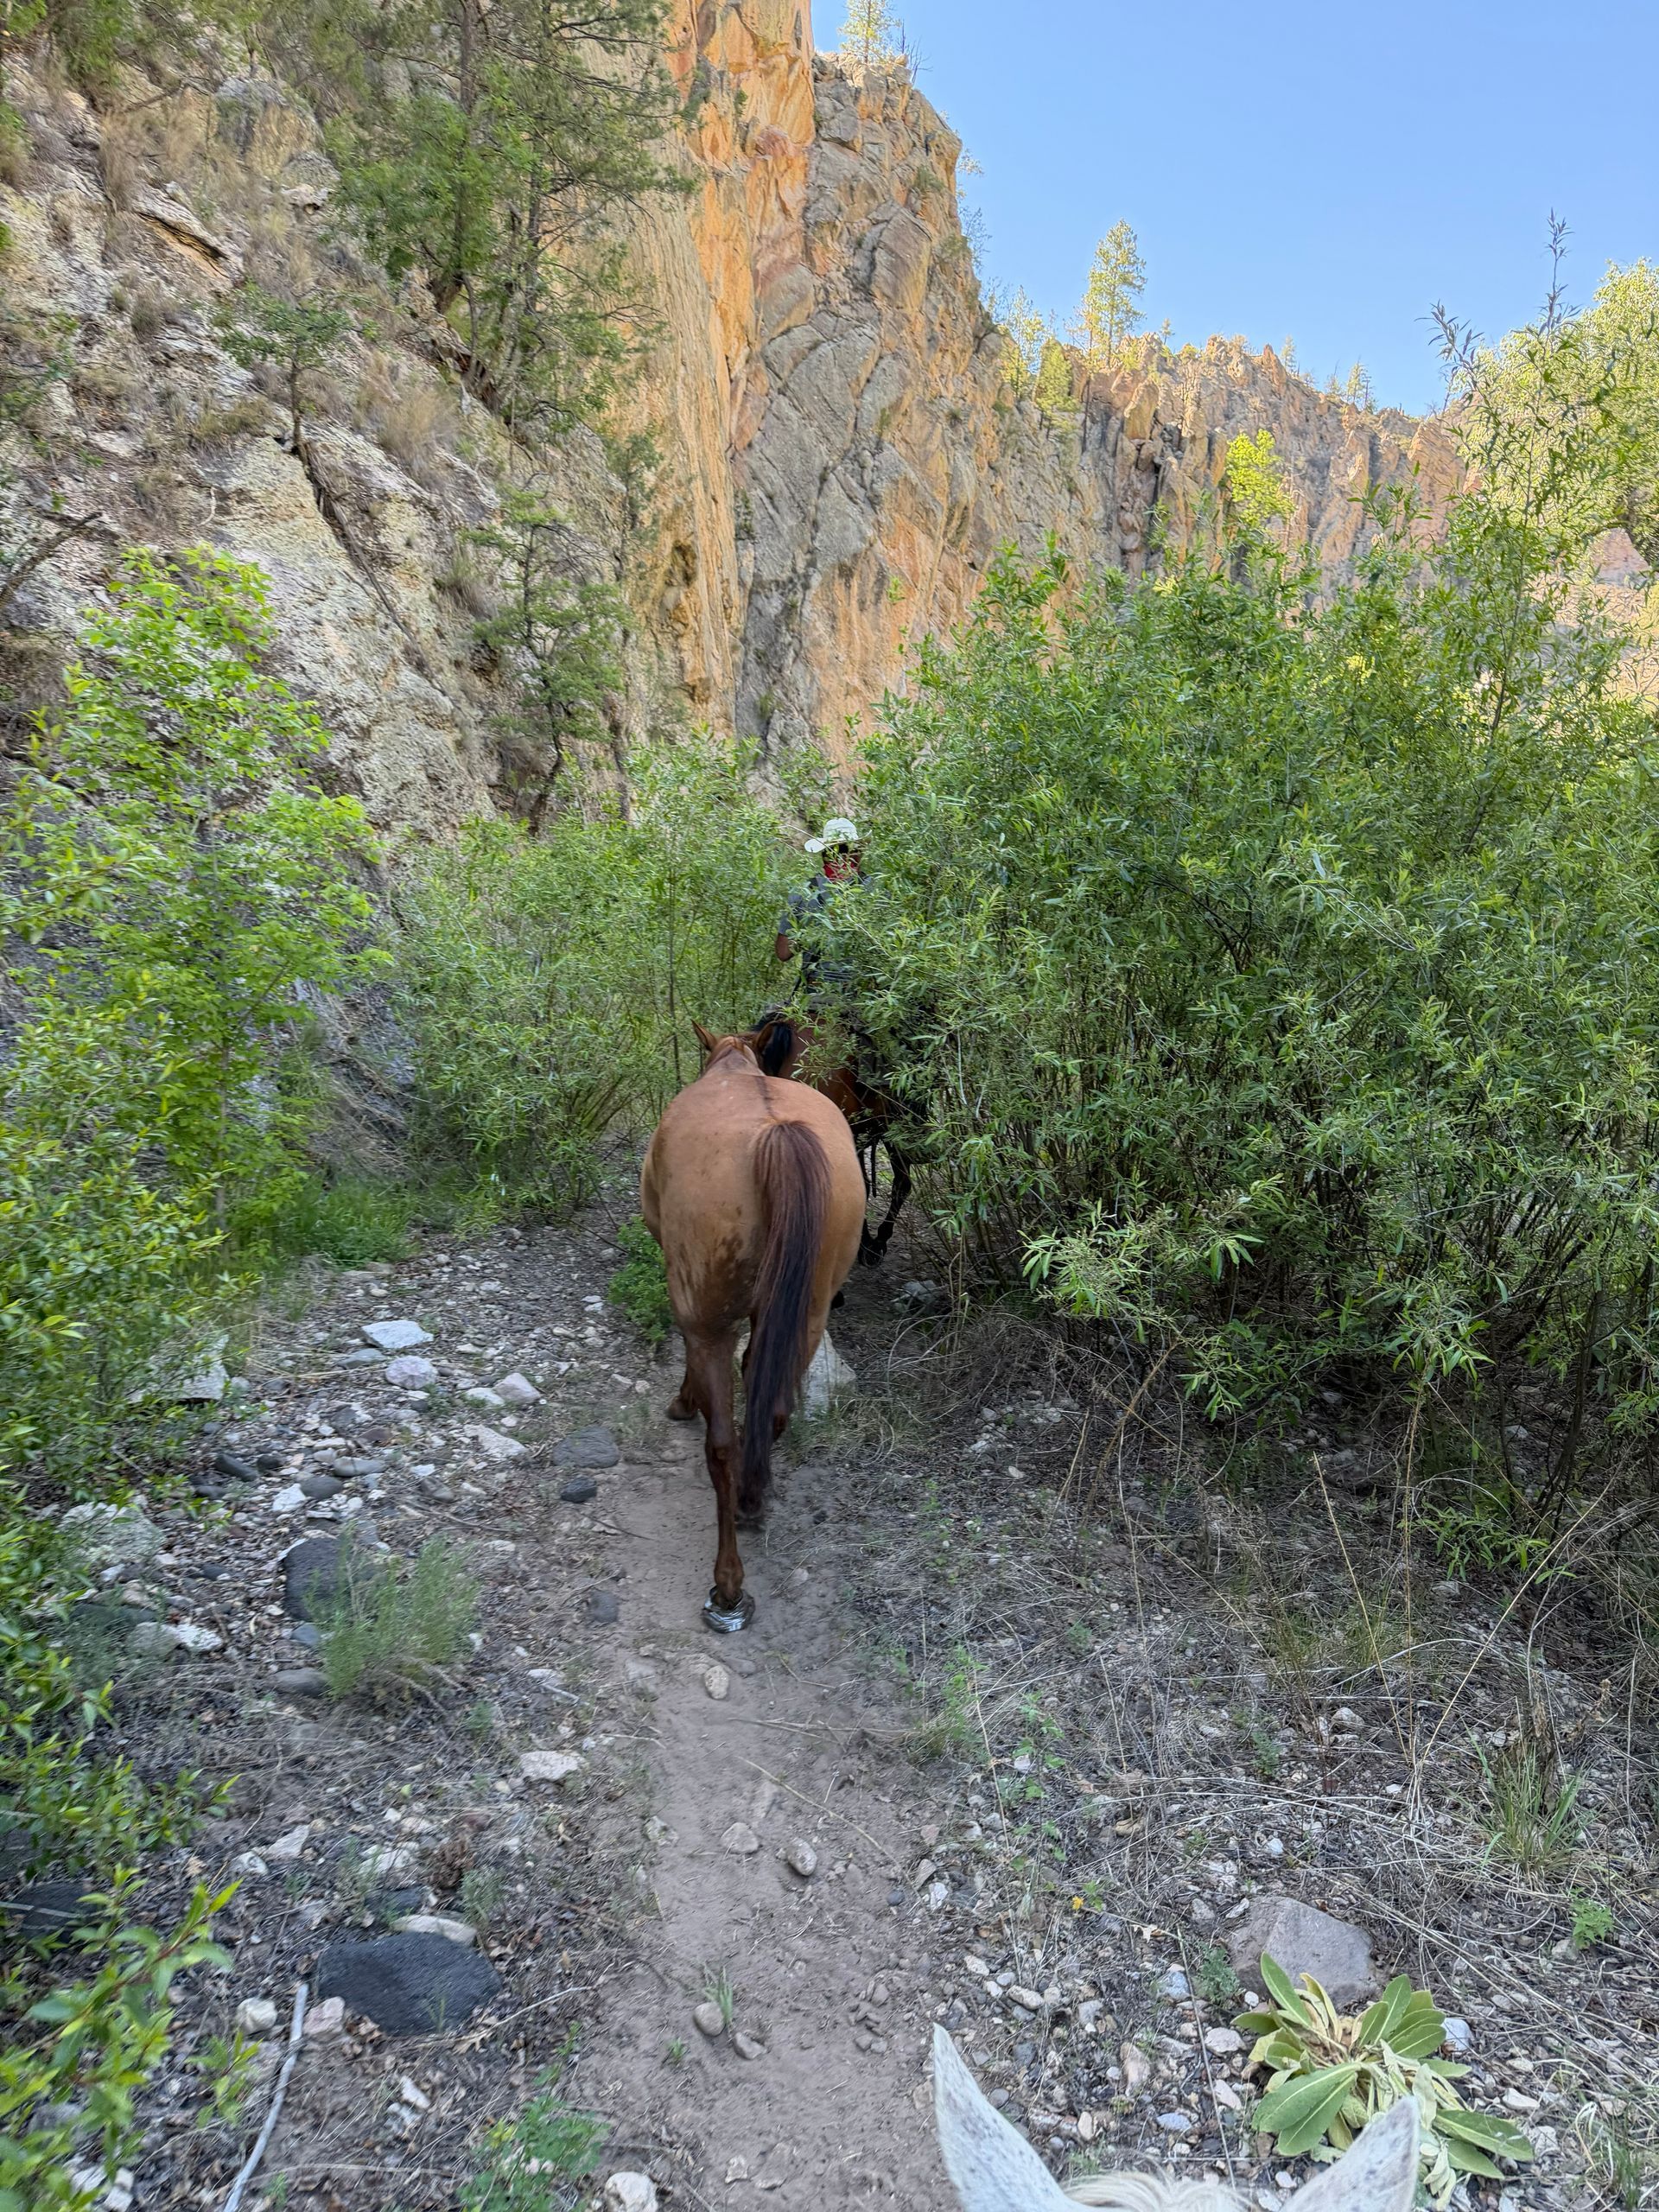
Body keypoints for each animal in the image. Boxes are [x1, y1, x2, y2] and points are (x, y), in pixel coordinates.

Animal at [638, 1020, 866, 1632]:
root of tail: (776, 1135)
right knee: (777, 1411)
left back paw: (728, 1586)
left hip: (708, 1320)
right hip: (807, 1317)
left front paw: (683, 1400)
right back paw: (751, 1500)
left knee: (721, 1446)